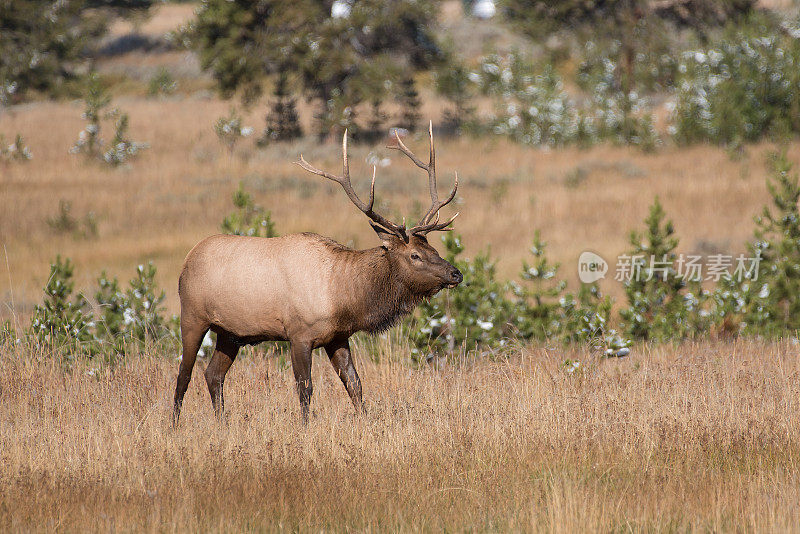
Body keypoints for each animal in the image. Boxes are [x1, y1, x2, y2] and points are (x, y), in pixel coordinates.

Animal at [175, 123, 462, 426]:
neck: (343, 296)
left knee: (213, 374)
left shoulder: (338, 336)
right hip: (192, 316)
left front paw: (365, 421)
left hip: (230, 333)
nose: (456, 273)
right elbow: (305, 387)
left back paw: (223, 424)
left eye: (433, 247)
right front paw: (304, 426)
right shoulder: (298, 334)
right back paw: (174, 424)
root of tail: (188, 259)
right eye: (414, 255)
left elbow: (354, 383)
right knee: (184, 374)